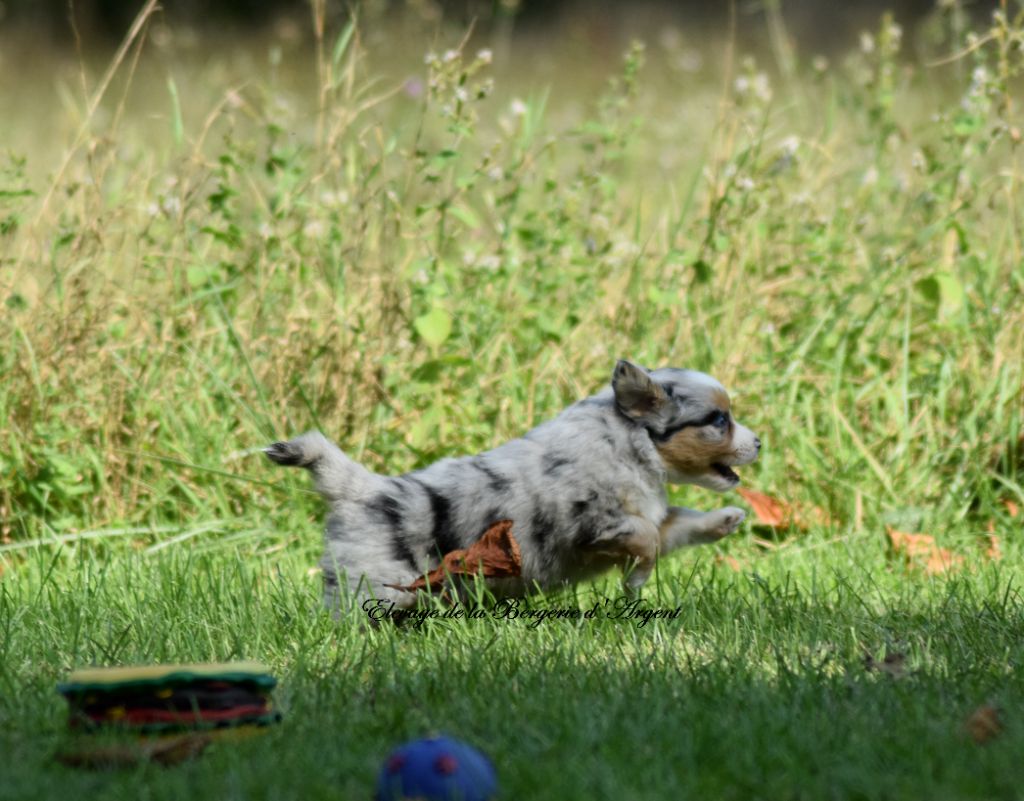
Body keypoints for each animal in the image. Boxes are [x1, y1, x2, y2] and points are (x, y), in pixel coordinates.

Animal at [264, 360, 761, 610]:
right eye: (719, 421)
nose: (760, 442)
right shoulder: (598, 523)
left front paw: (726, 519)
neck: (629, 442)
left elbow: (675, 526)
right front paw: (636, 579)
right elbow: (647, 543)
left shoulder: (647, 513)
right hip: (374, 585)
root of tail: (360, 488)